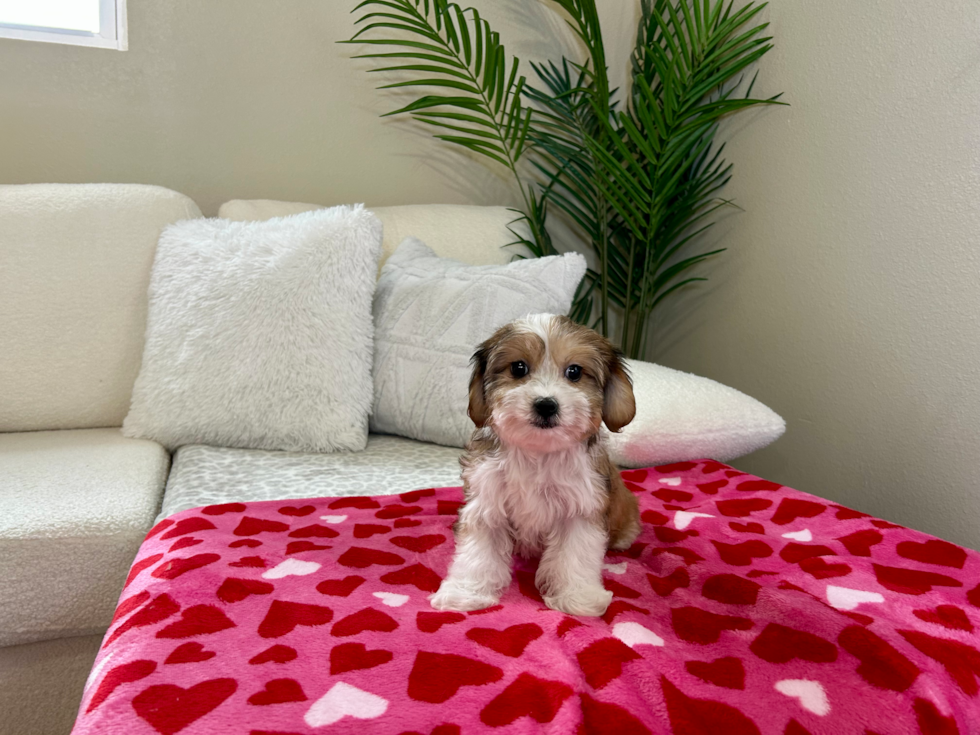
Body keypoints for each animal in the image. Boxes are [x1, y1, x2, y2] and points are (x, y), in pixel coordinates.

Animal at [432, 310, 640, 616]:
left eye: (574, 372)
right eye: (518, 368)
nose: (546, 405)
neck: (538, 452)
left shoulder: (581, 506)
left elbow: (574, 554)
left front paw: (577, 597)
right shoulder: (488, 500)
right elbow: (478, 552)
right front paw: (466, 592)